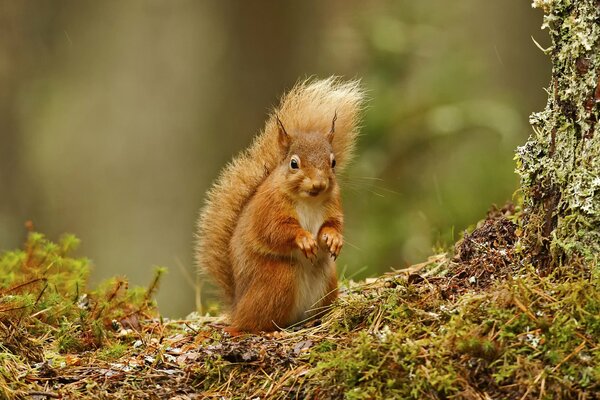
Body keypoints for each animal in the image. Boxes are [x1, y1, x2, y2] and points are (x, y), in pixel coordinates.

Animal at [199, 77, 364, 332]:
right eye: (294, 163)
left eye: (333, 162)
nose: (319, 184)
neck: (309, 200)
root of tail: (238, 307)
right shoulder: (269, 208)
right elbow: (274, 231)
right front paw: (304, 239)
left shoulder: (333, 204)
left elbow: (333, 224)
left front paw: (333, 239)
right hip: (279, 280)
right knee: (251, 325)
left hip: (327, 281)